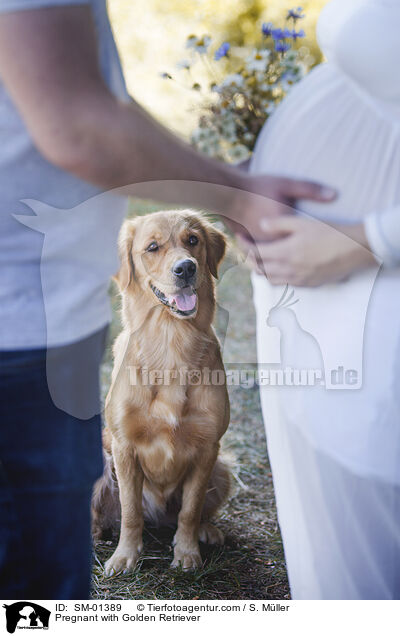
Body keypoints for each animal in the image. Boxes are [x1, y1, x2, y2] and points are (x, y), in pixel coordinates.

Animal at [92, 210, 230, 576]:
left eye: (193, 240)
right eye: (152, 247)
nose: (186, 268)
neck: (170, 343)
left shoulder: (208, 447)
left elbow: (191, 508)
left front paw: (187, 553)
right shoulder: (124, 446)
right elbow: (130, 512)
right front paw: (125, 556)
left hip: (222, 468)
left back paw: (206, 531)